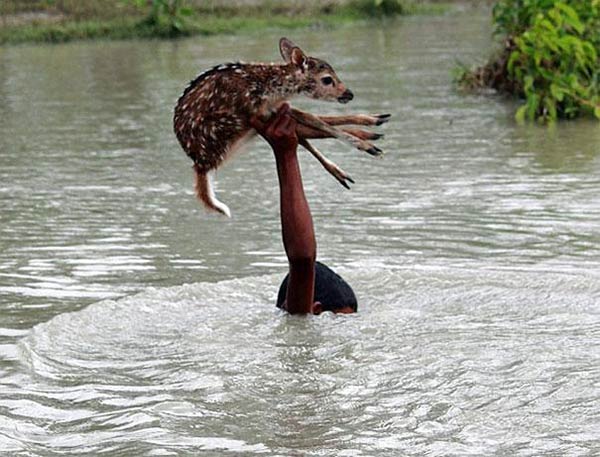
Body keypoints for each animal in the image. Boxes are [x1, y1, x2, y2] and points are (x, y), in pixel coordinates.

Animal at [173, 37, 390, 216]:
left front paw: (371, 125)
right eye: (327, 79)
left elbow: (314, 119)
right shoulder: (258, 110)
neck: (272, 88)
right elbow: (315, 119)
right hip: (231, 127)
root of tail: (200, 165)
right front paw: (366, 144)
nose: (349, 94)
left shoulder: (274, 109)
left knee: (304, 132)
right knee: (305, 130)